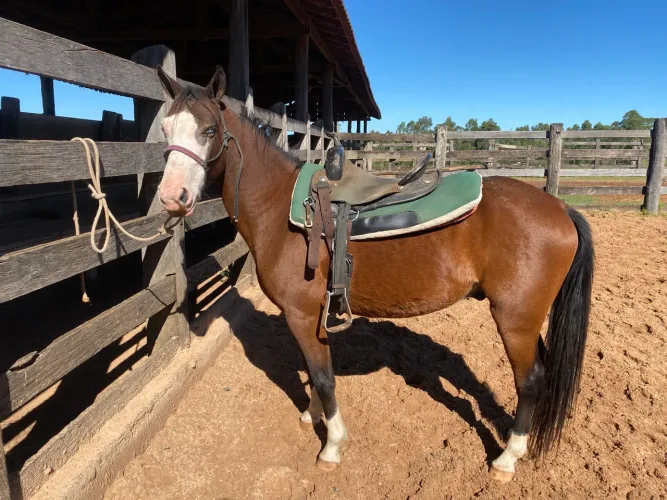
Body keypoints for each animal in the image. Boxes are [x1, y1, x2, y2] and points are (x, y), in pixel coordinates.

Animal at [154, 65, 594, 483]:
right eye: (164, 129)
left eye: (210, 130)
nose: (172, 197)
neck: (279, 207)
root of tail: (559, 208)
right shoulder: (310, 318)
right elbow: (315, 372)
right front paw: (311, 415)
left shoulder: (301, 315)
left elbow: (324, 377)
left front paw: (332, 446)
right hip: (527, 320)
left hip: (515, 319)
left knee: (530, 380)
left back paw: (507, 458)